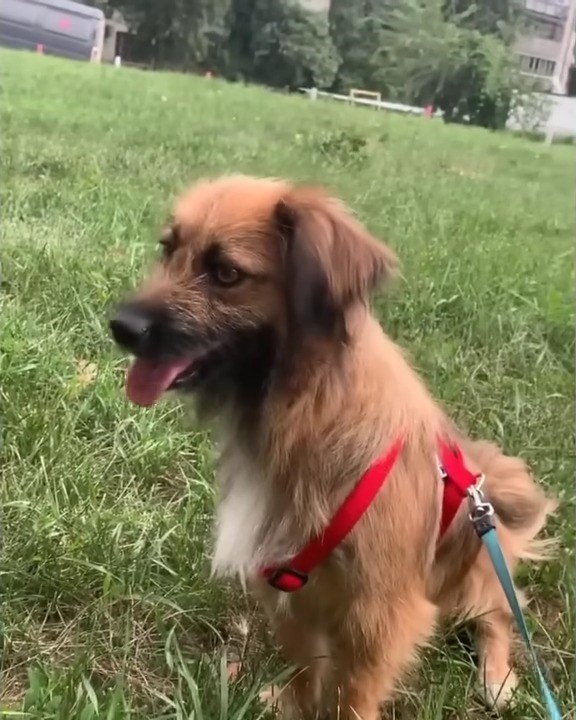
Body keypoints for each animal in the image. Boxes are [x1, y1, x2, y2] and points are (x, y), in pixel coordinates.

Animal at [109, 176, 560, 720]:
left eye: (226, 273)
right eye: (168, 249)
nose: (120, 326)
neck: (308, 405)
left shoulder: (380, 615)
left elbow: (352, 695)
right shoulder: (286, 584)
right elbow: (306, 668)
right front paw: (292, 703)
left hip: (475, 568)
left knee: (501, 612)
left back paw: (496, 675)